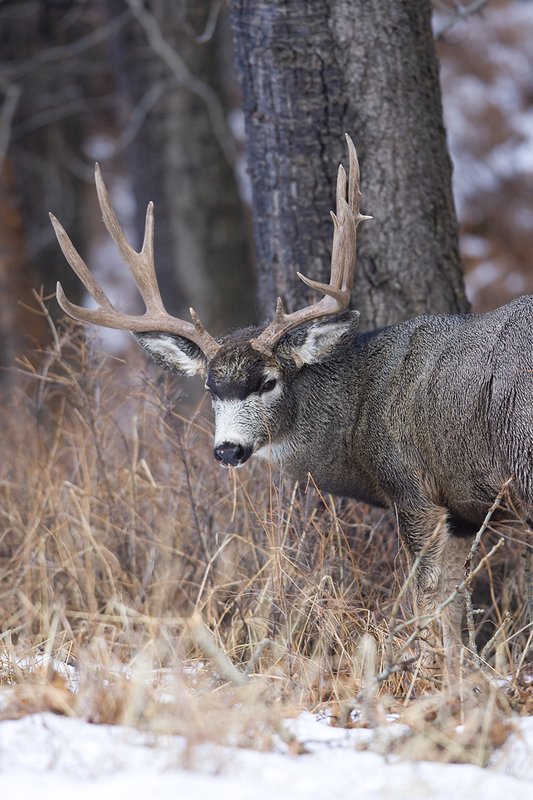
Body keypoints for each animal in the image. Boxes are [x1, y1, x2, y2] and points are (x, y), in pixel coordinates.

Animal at [50, 136, 533, 670]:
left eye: (268, 382)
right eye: (211, 388)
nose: (227, 449)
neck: (360, 414)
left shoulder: (413, 489)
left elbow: (428, 596)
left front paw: (424, 672)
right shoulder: (463, 510)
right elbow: (454, 599)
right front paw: (460, 672)